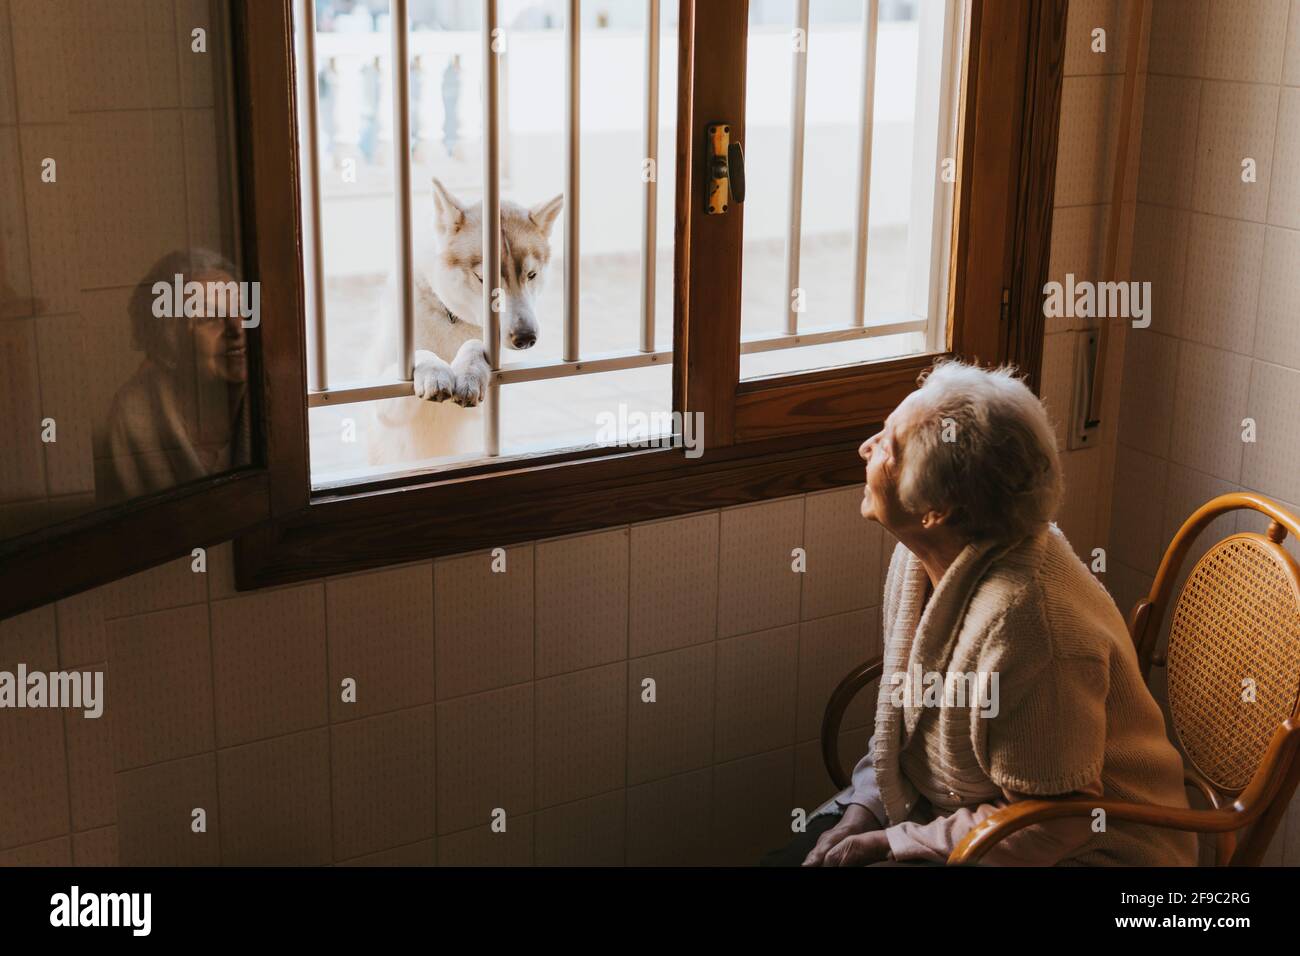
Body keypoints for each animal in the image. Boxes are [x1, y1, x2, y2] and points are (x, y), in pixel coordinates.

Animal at [371, 179, 564, 468]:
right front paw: (433, 371)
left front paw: (469, 372)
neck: (451, 319)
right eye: (483, 279)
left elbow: (474, 344)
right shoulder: (383, 401)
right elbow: (419, 354)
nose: (525, 337)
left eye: (532, 275)